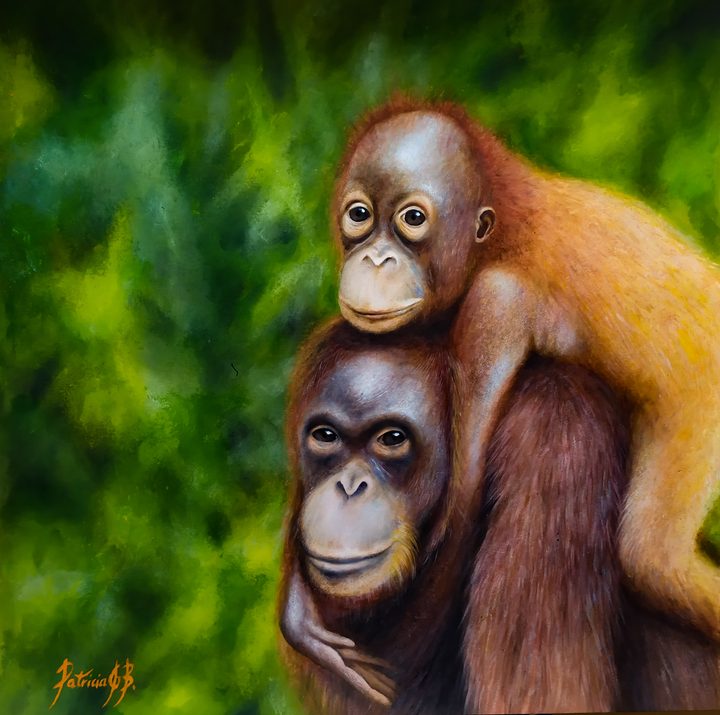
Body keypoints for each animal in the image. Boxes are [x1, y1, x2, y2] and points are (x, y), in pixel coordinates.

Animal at [331, 98, 720, 648]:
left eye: (412, 219)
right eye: (360, 215)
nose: (377, 258)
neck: (501, 232)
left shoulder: (495, 303)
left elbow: (465, 488)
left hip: (702, 397)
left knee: (651, 559)